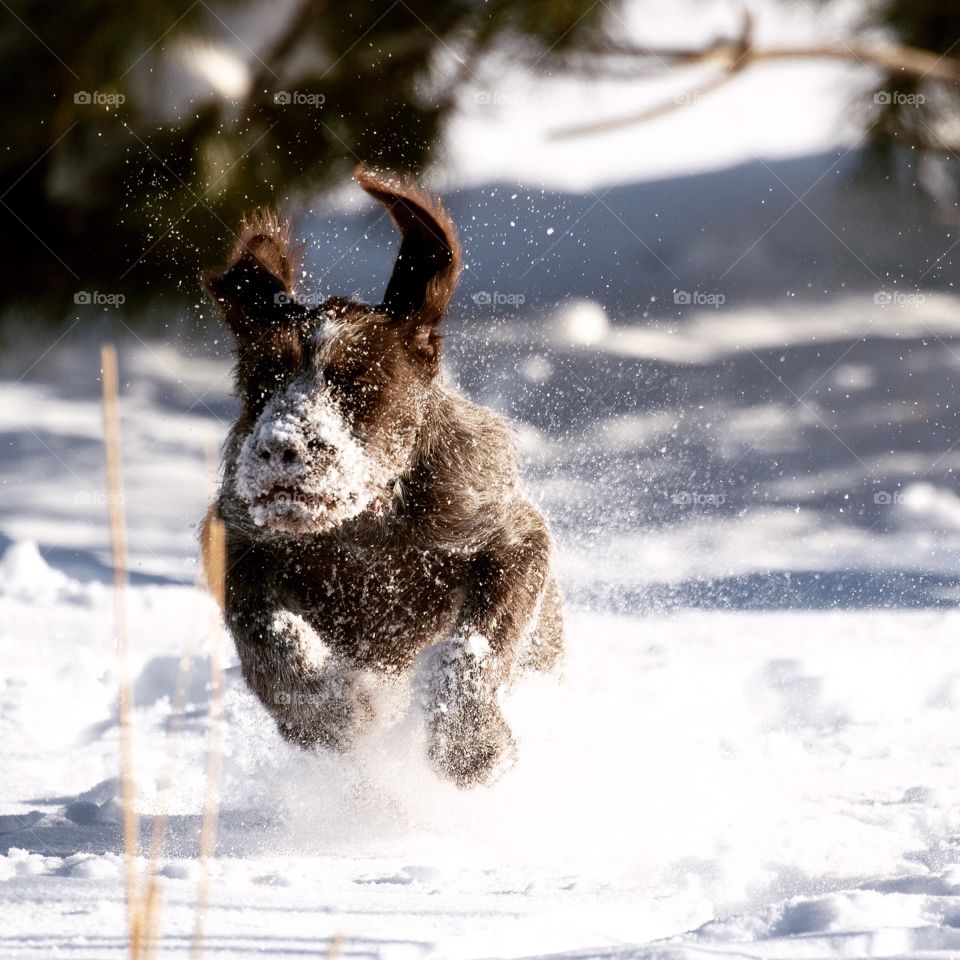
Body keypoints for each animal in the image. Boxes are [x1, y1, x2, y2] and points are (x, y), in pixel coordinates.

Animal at [202, 167, 564, 788]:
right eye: (260, 385)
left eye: (359, 387)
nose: (280, 449)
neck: (365, 529)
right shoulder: (237, 542)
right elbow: (269, 634)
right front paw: (331, 714)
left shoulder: (510, 537)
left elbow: (472, 645)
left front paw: (472, 747)